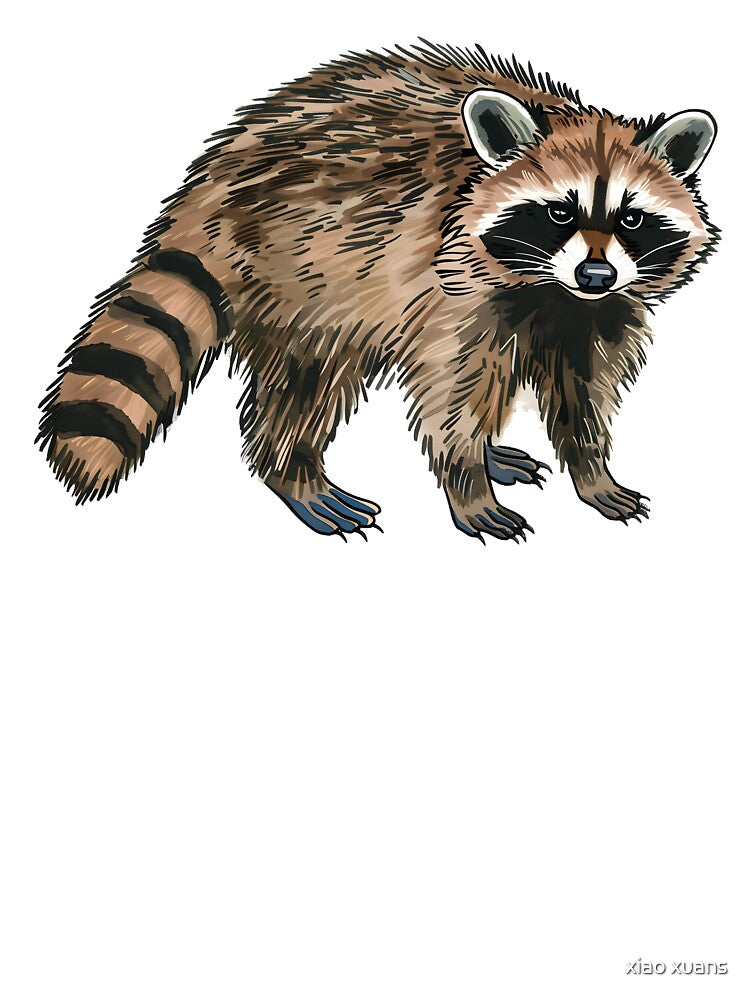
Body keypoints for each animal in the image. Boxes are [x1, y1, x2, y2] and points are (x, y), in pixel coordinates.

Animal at [37, 42, 719, 540]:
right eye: (559, 213)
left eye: (631, 218)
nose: (596, 275)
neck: (552, 291)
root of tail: (214, 180)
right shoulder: (451, 285)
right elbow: (452, 391)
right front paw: (467, 484)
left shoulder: (595, 316)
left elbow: (583, 390)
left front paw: (591, 468)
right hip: (303, 272)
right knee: (307, 383)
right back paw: (294, 471)